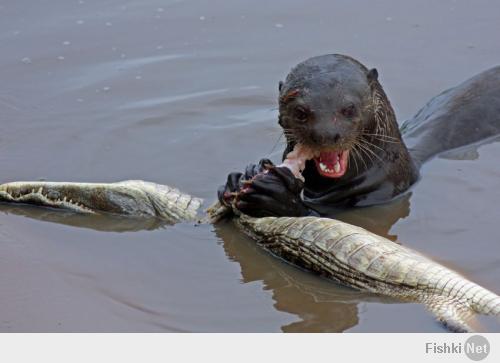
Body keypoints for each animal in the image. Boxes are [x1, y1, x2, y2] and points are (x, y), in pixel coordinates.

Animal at [218, 55, 500, 218]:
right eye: (300, 112)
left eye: (349, 108)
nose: (325, 134)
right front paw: (239, 177)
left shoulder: (381, 194)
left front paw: (276, 196)